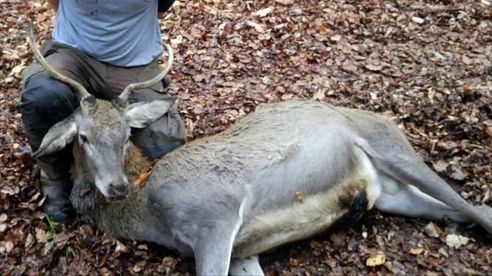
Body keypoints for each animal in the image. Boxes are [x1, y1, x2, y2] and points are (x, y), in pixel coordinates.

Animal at [28, 25, 490, 276]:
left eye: (126, 134)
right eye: (83, 137)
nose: (115, 186)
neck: (147, 210)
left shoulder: (215, 217)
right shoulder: (241, 250)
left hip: (387, 143)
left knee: (478, 210)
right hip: (390, 193)